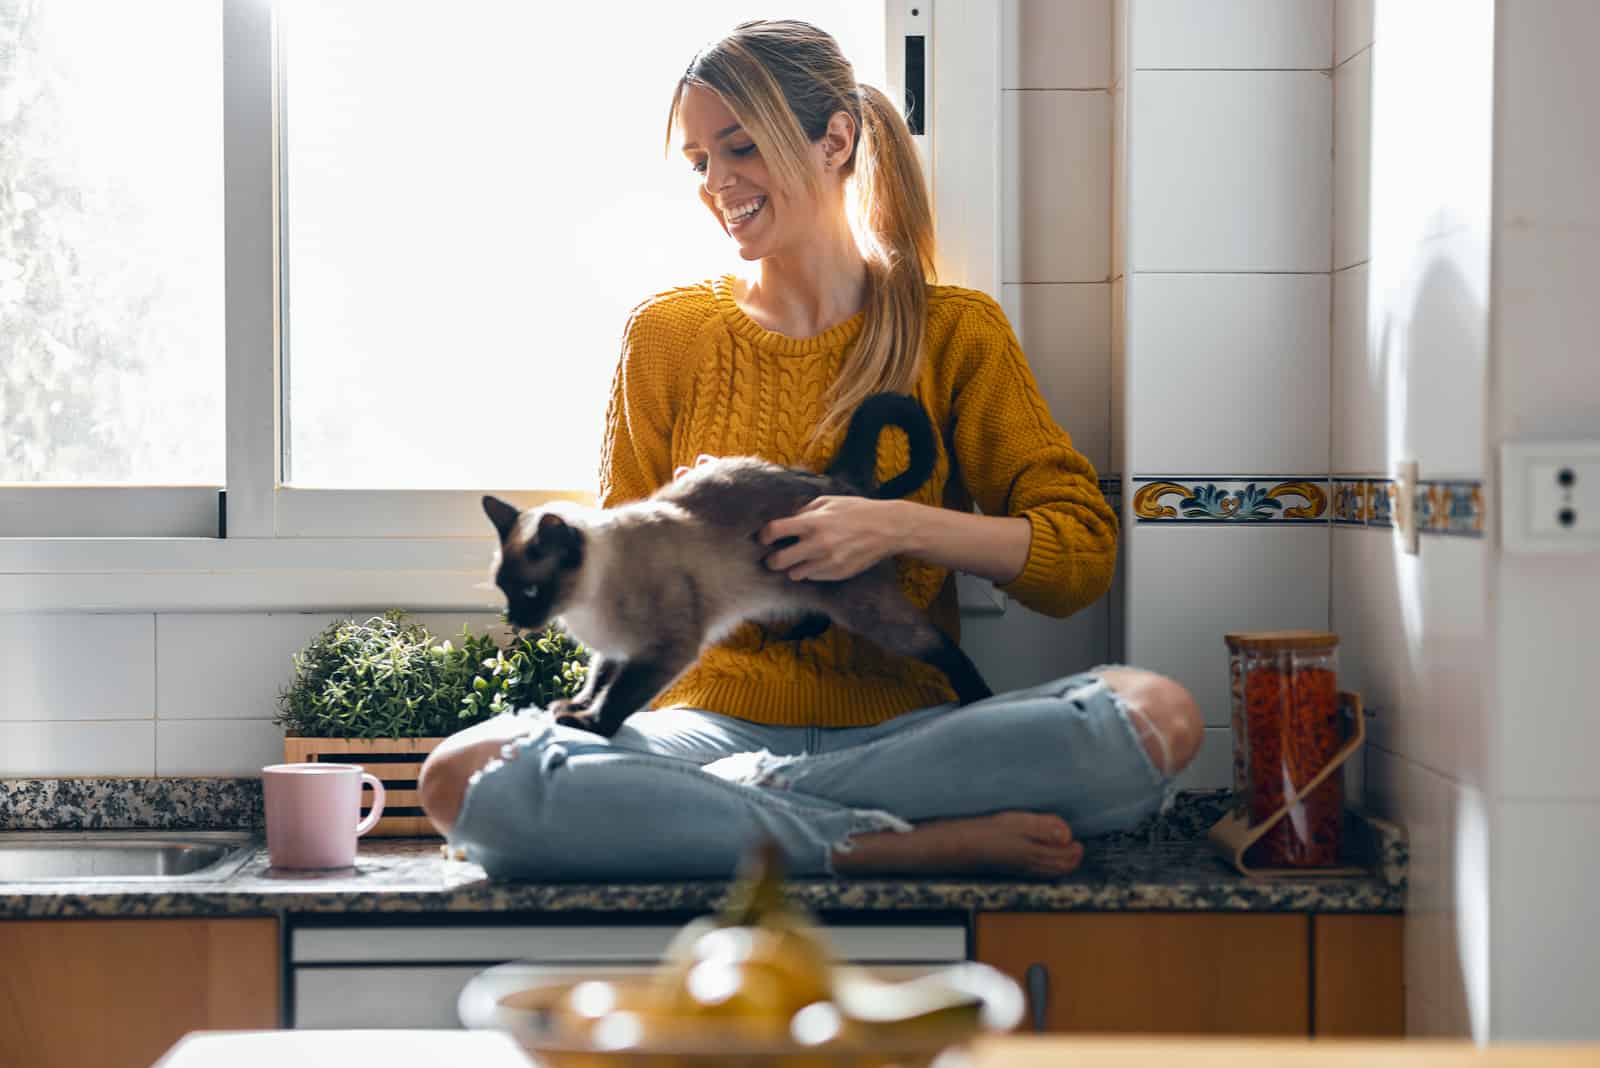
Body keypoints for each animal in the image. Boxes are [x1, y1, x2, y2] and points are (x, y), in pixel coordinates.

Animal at [480, 390, 992, 735]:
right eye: (505, 589)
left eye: (530, 590)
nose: (515, 618)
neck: (584, 607)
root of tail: (835, 482)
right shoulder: (615, 650)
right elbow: (597, 681)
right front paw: (573, 708)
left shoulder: (663, 651)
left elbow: (618, 698)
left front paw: (589, 726)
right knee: (817, 617)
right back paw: (789, 634)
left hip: (870, 612)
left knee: (937, 644)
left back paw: (979, 700)